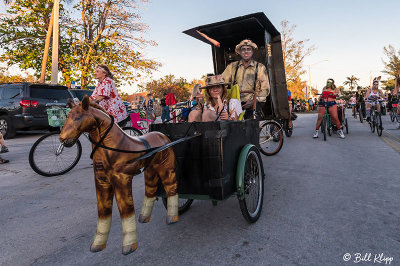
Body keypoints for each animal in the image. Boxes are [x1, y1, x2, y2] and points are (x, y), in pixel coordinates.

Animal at [59, 95, 178, 256]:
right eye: (68, 117)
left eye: (78, 117)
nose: (62, 139)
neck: (113, 147)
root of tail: (164, 136)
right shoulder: (101, 181)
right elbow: (103, 212)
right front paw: (97, 244)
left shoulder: (121, 180)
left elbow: (126, 210)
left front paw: (129, 245)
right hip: (151, 170)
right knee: (151, 190)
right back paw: (144, 217)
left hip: (166, 168)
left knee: (171, 187)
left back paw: (172, 217)